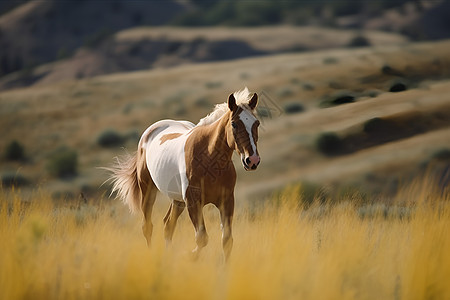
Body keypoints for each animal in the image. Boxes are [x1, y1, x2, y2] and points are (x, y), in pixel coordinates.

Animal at [106, 87, 260, 260]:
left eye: (257, 123)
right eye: (234, 124)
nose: (252, 160)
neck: (208, 158)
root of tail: (150, 132)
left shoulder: (226, 202)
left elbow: (227, 241)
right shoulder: (193, 202)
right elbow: (202, 238)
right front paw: (189, 256)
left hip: (177, 200)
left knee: (168, 225)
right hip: (148, 191)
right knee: (147, 226)